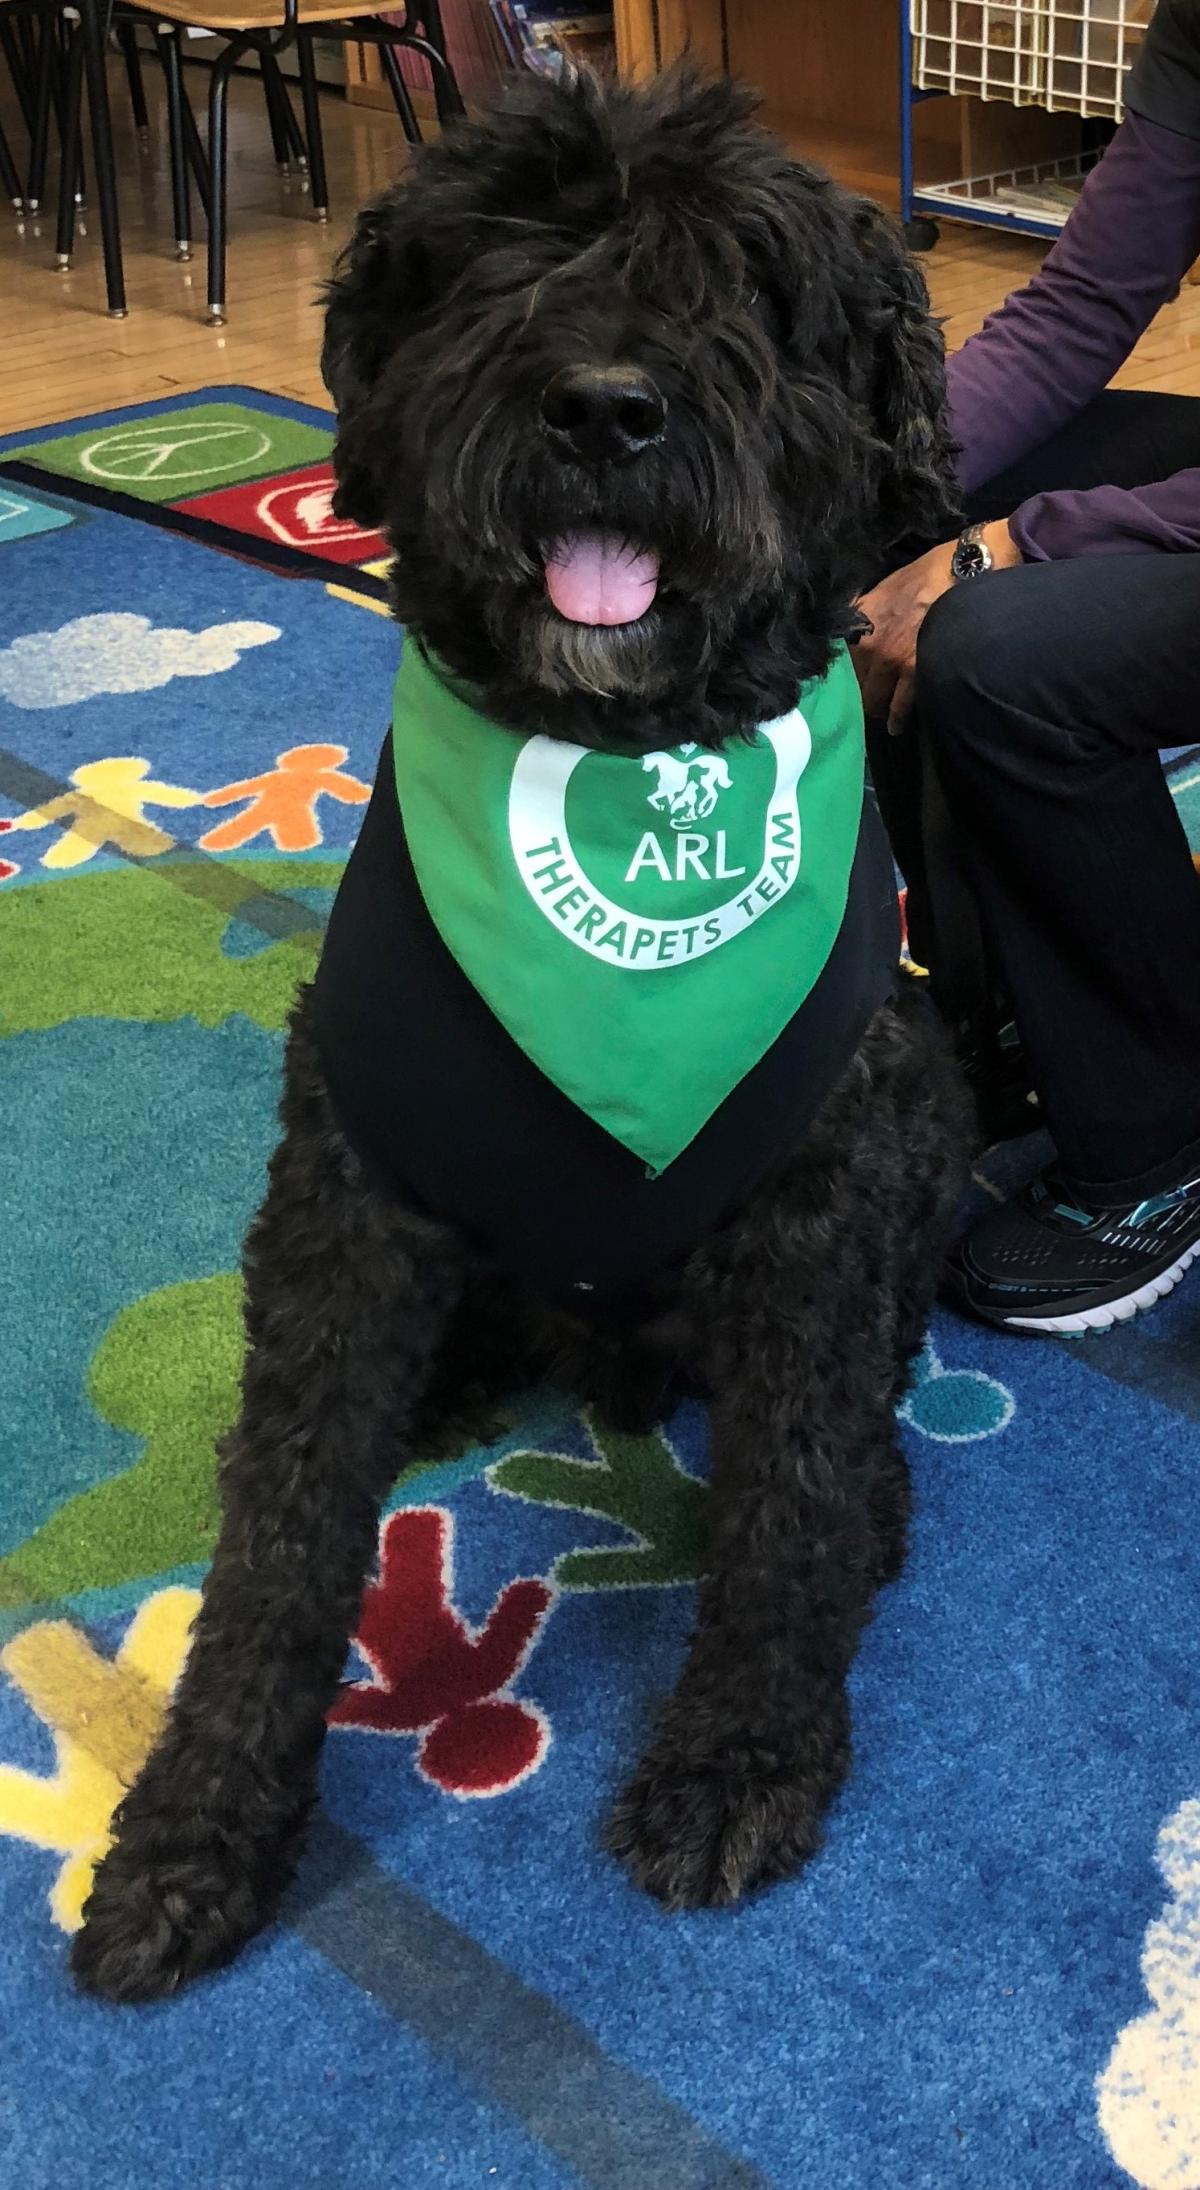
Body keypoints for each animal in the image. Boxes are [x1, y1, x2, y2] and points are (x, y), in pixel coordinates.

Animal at [72, 64, 976, 2006]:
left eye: (748, 279)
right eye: (504, 250)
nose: (608, 407)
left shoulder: (817, 1205)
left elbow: (788, 1497)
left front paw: (740, 1762)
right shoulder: (343, 1194)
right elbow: (277, 1529)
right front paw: (191, 1836)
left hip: (928, 1104)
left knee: (857, 1405)